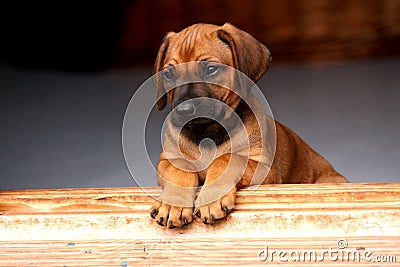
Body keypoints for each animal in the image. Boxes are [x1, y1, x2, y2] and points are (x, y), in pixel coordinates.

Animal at [150, 22, 346, 230]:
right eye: (168, 74)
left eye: (211, 69)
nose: (184, 111)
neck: (207, 132)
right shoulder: (165, 161)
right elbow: (179, 167)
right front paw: (173, 203)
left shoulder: (265, 169)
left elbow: (227, 158)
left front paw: (211, 198)